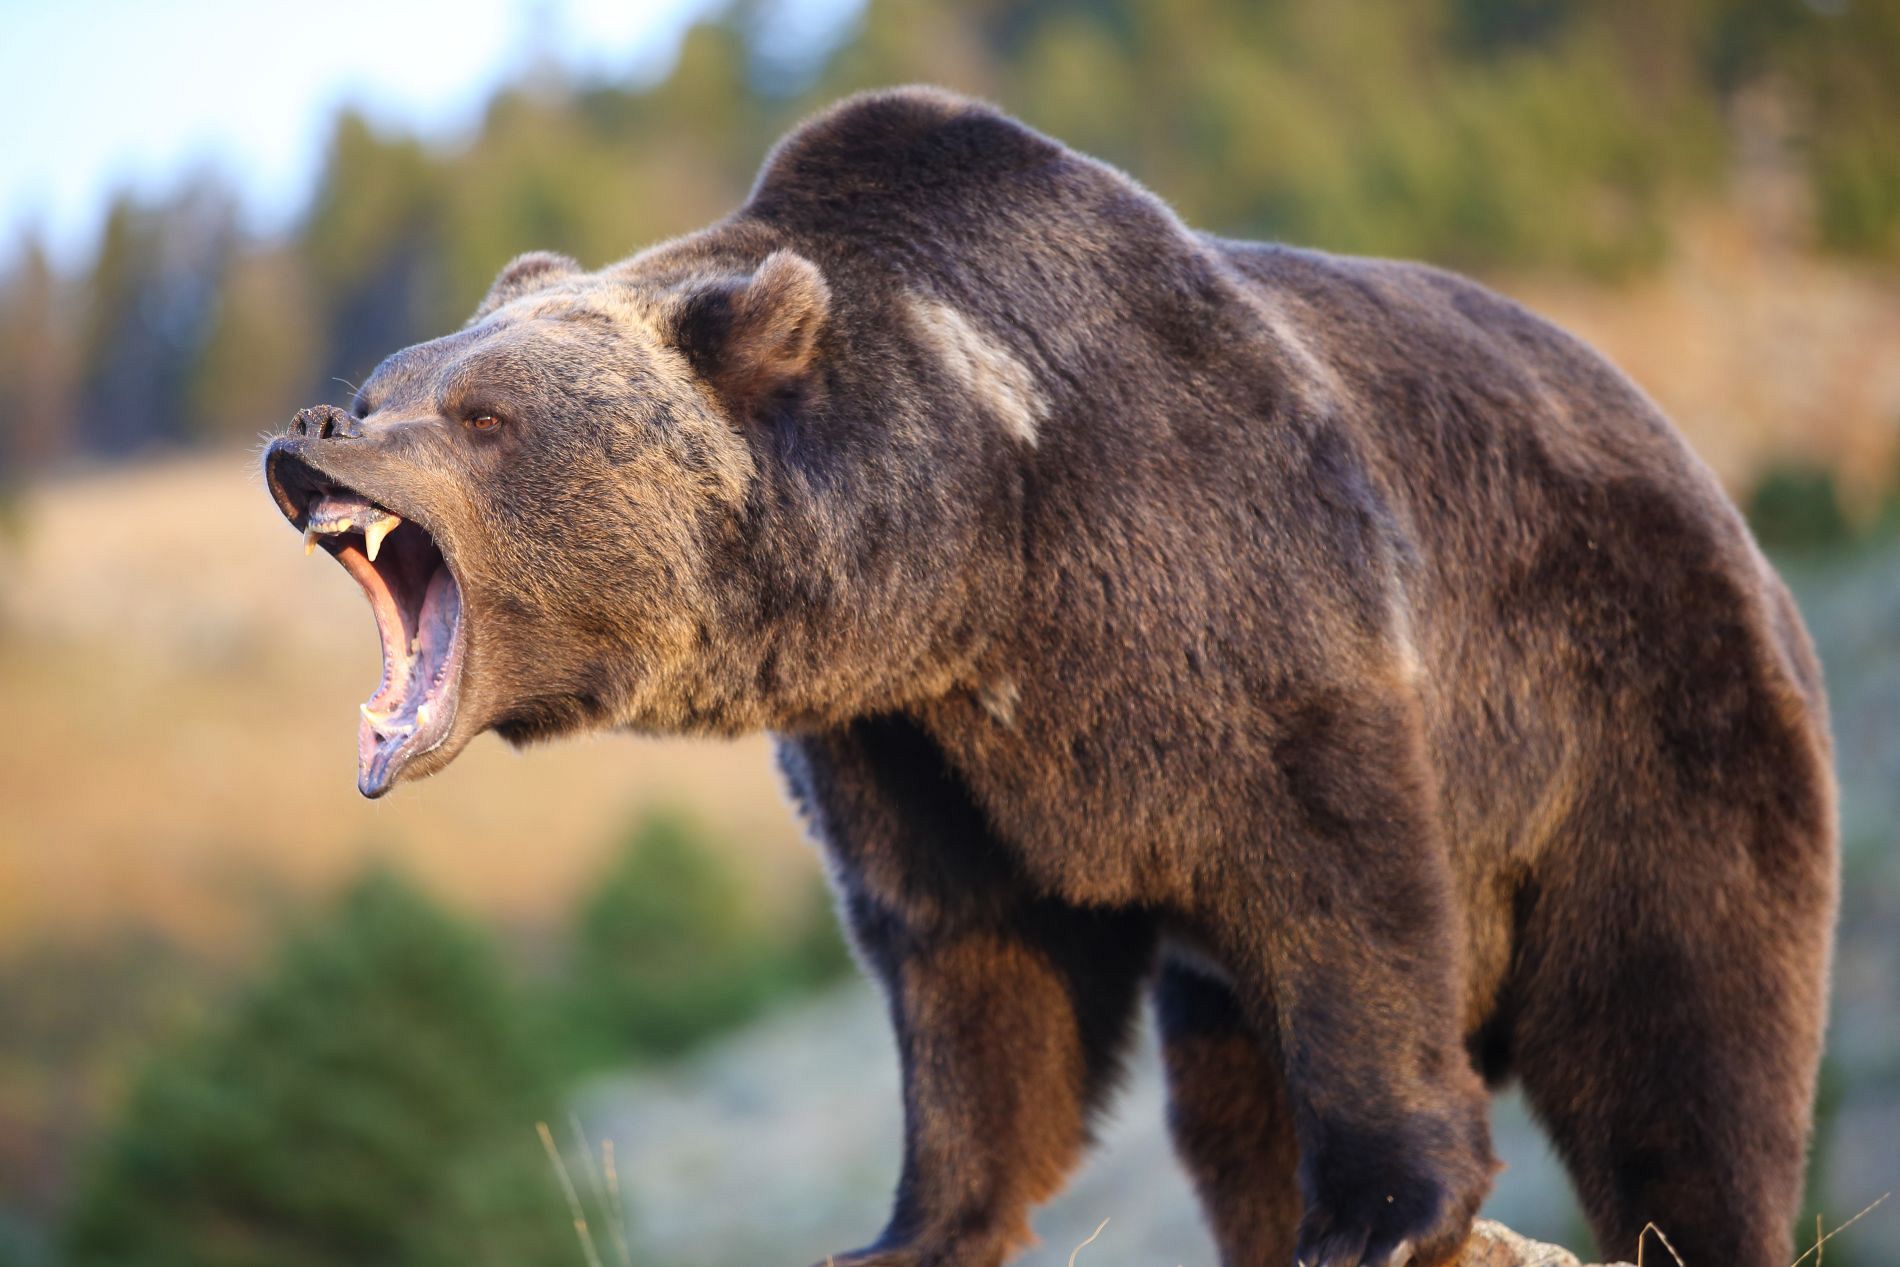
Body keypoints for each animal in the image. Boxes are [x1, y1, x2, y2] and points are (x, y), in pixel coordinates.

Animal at [267, 89, 1839, 1267]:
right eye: (386, 380)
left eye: (482, 413)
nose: (310, 433)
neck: (976, 548)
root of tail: (1712, 489)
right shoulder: (909, 743)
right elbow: (968, 961)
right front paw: (906, 1228)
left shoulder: (1229, 584)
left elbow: (1344, 883)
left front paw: (1385, 1210)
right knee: (1231, 1100)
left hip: (1643, 711)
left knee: (1681, 1033)